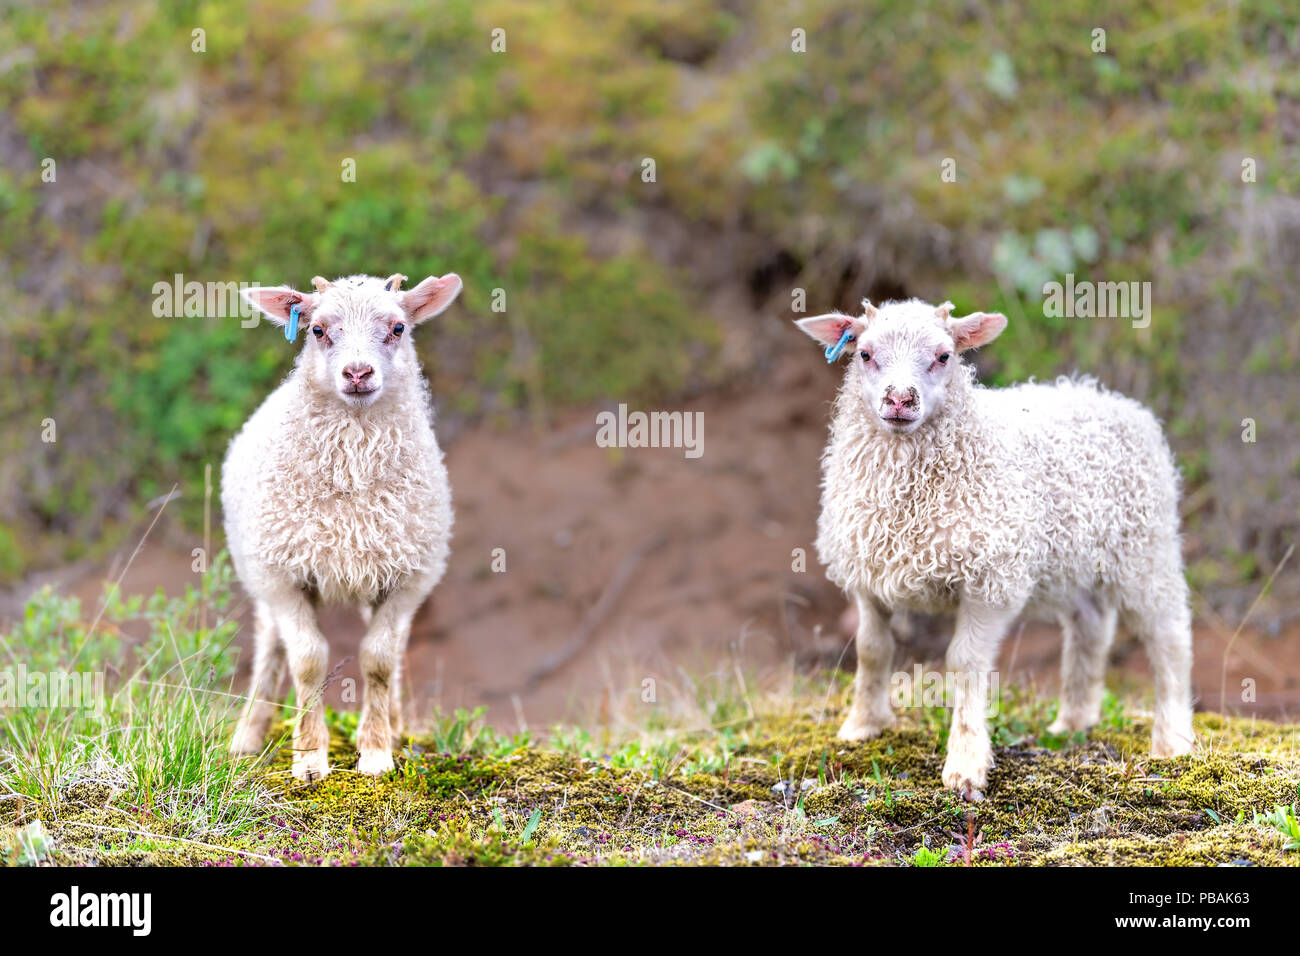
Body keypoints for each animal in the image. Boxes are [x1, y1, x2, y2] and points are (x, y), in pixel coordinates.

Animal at [224, 273, 462, 780]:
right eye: (316, 330)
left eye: (398, 327)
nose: (357, 374)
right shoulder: (284, 577)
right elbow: (308, 661)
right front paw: (310, 758)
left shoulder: (405, 580)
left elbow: (379, 661)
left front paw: (375, 753)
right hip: (262, 575)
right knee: (269, 648)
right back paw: (248, 735)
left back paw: (393, 724)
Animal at [795, 297, 1190, 801]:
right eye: (864, 353)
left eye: (944, 356)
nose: (900, 400)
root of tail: (1114, 400)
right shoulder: (871, 574)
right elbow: (871, 649)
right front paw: (862, 726)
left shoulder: (991, 580)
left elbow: (964, 662)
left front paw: (965, 765)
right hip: (1078, 563)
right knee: (1091, 629)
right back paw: (1074, 721)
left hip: (1146, 548)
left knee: (1169, 635)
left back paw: (1173, 740)